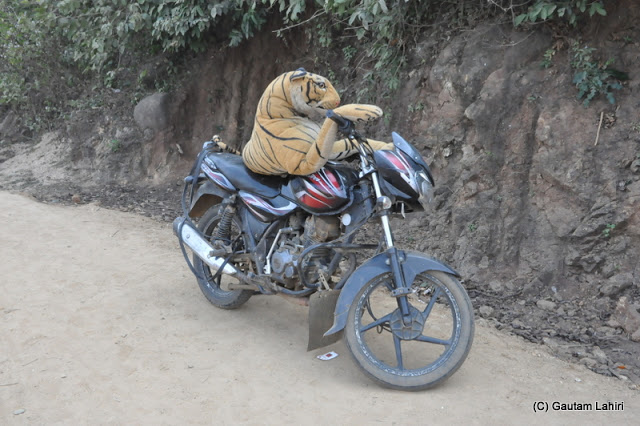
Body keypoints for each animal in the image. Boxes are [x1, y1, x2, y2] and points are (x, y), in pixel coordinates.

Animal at [241, 68, 393, 176]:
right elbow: (330, 124)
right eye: (321, 85)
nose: (338, 100)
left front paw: (387, 146)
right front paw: (369, 110)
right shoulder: (303, 163)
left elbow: (347, 144)